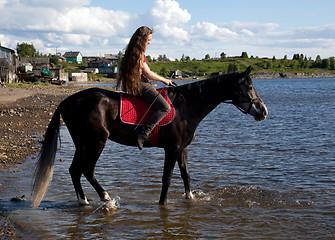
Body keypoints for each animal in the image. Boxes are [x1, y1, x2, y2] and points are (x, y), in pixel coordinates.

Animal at [31, 66, 268, 208]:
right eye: (248, 86)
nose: (263, 111)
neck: (187, 105)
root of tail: (69, 100)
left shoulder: (182, 148)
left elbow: (186, 174)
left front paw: (189, 198)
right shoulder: (172, 148)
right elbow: (167, 178)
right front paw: (162, 204)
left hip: (82, 142)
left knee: (75, 170)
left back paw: (83, 200)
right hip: (96, 141)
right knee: (87, 169)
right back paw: (105, 197)